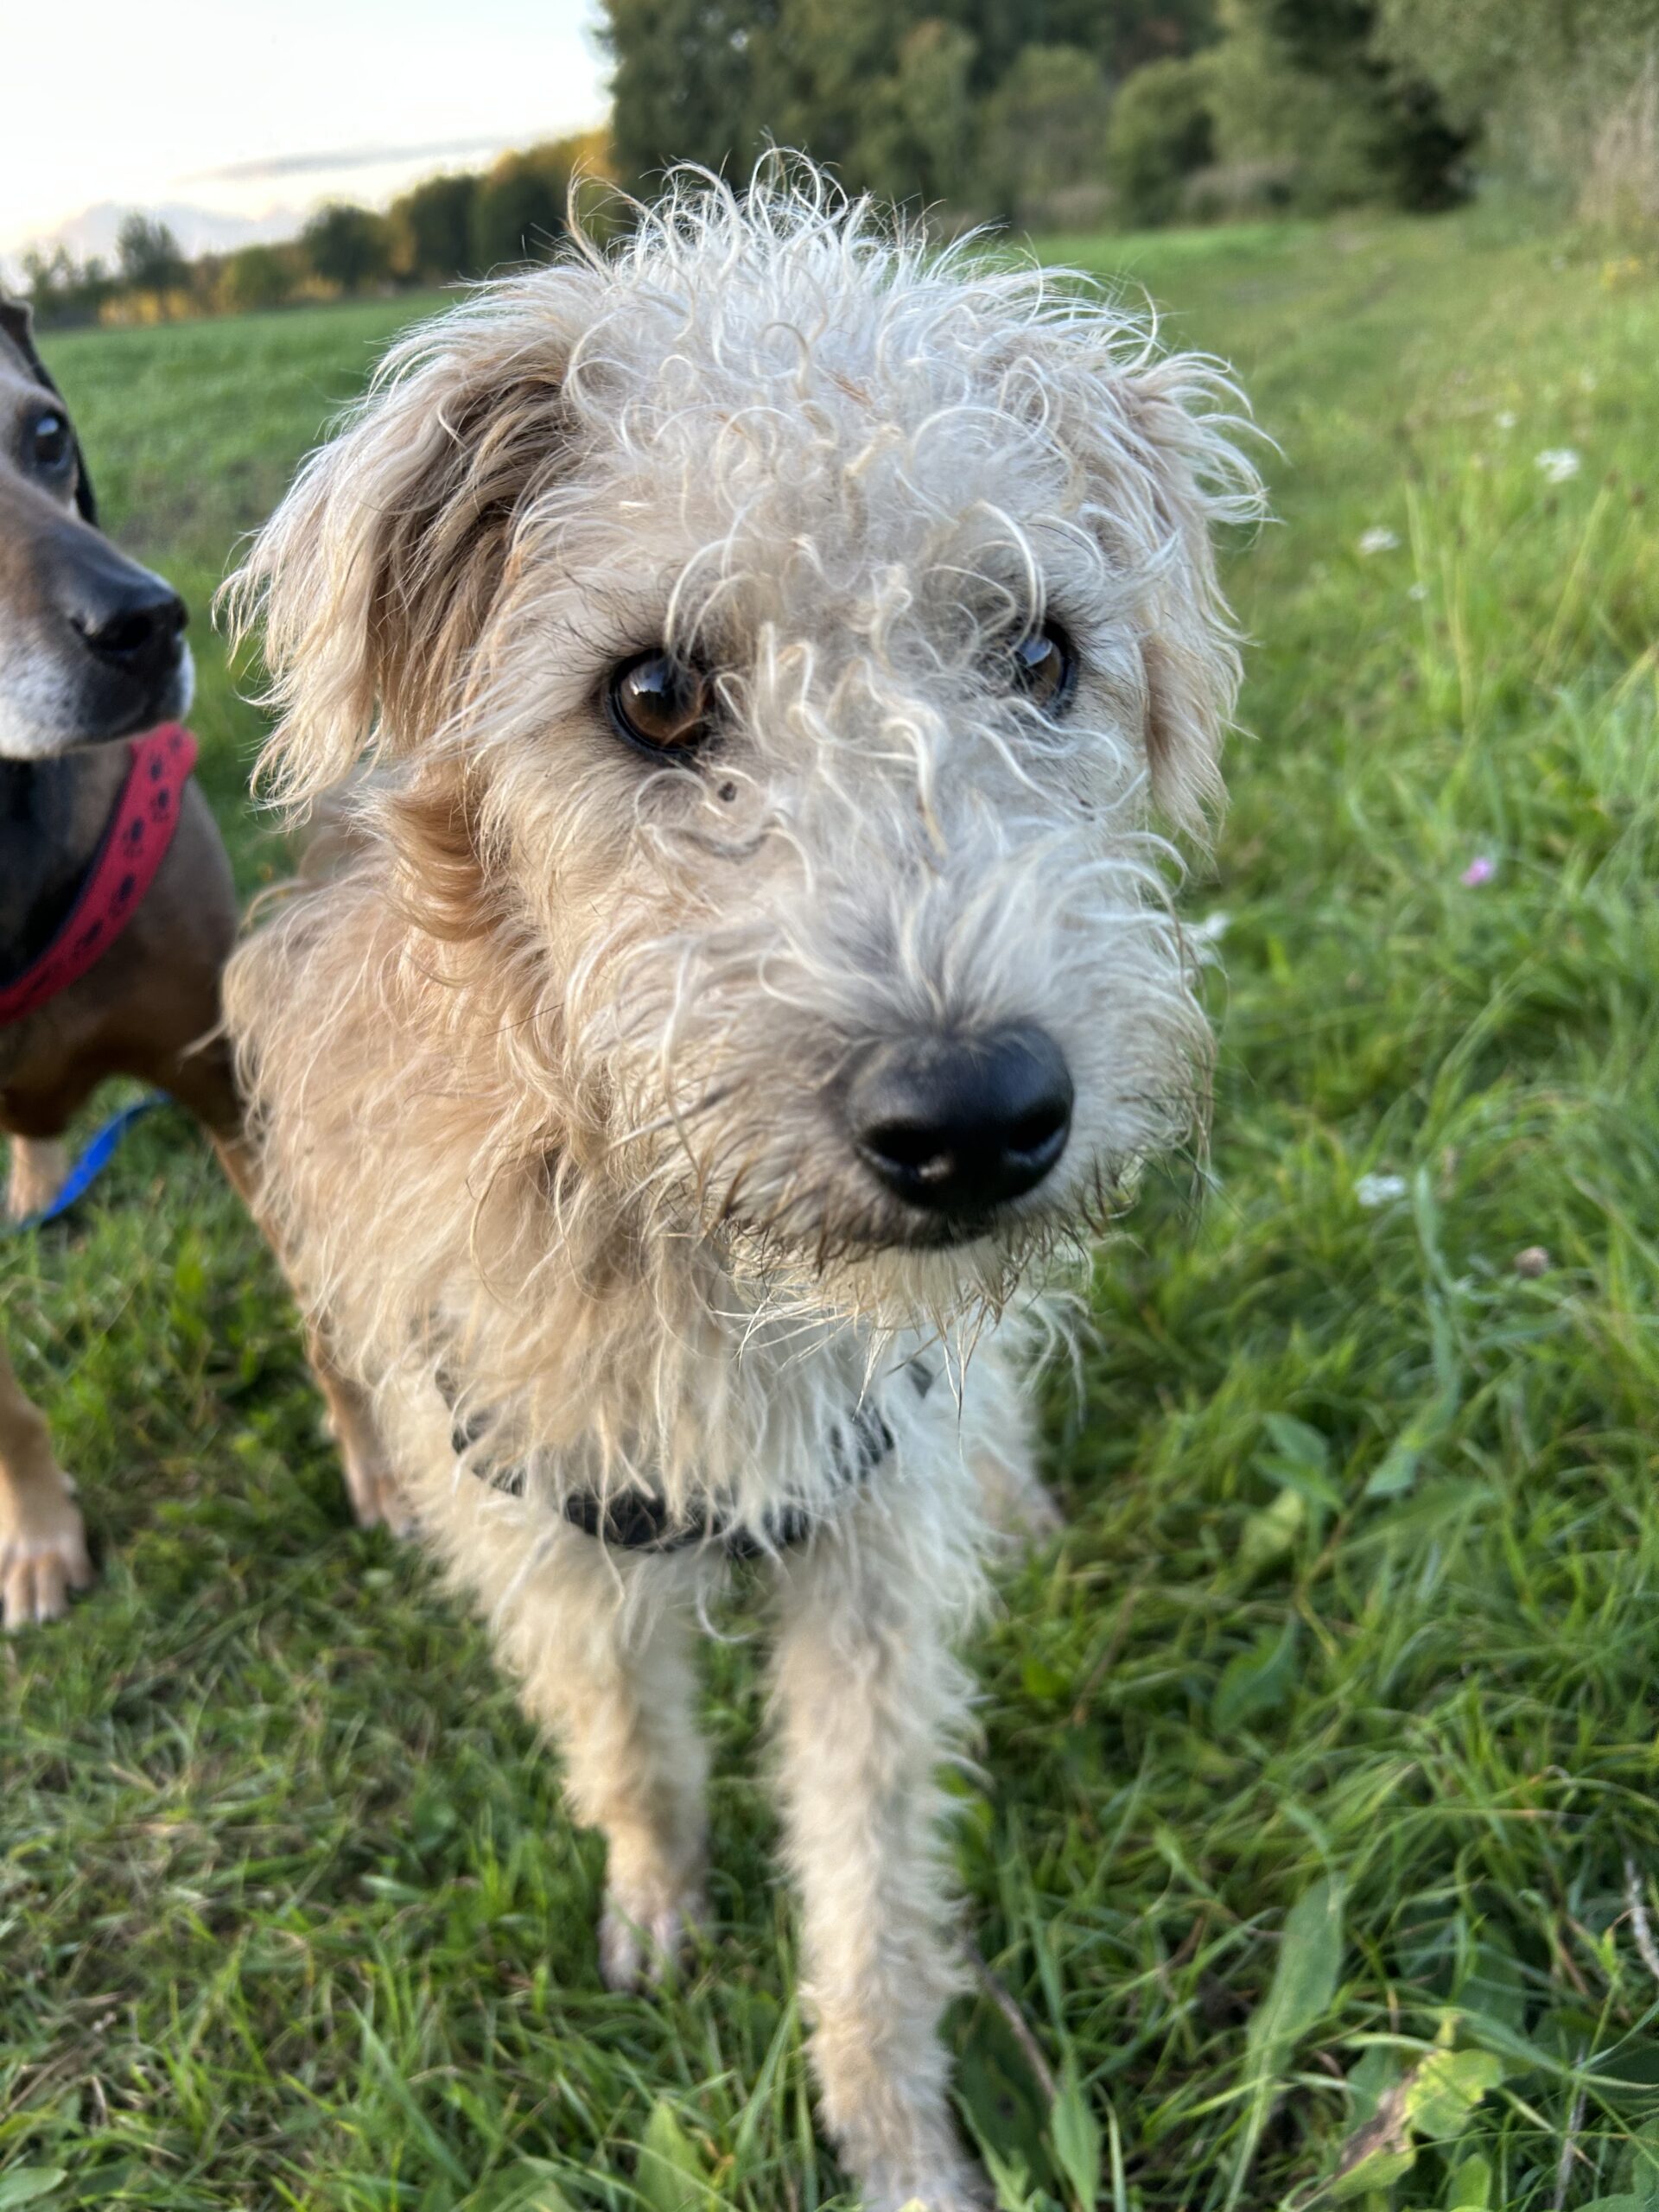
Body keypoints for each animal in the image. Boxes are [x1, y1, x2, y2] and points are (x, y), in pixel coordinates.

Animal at [0, 295, 404, 1631]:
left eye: (47, 435)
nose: (145, 626)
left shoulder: (232, 1074)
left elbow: (327, 1302)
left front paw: (383, 1465)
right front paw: (36, 1534)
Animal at [221, 171, 1256, 2211]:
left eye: (1042, 655)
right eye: (651, 693)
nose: (975, 1119)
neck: (688, 1265)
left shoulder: (866, 1563)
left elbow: (868, 1877)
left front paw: (898, 2131)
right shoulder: (535, 1527)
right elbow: (628, 1741)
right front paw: (657, 1896)